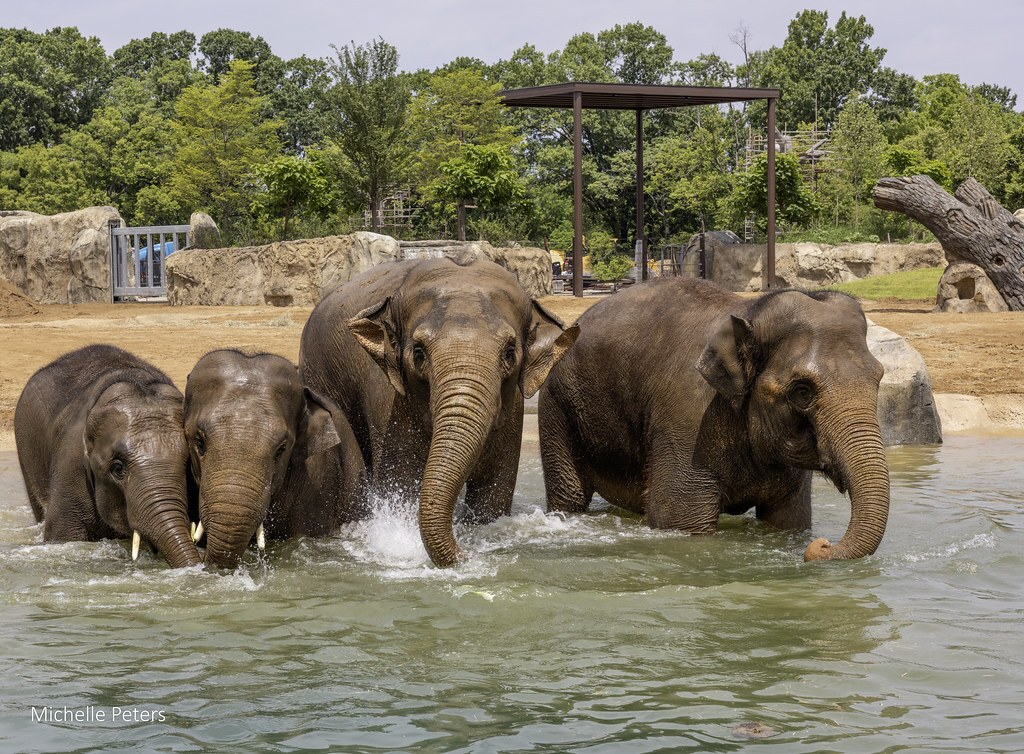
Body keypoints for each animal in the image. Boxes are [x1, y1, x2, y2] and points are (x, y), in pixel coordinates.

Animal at [299, 257, 579, 567]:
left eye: (509, 353)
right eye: (419, 352)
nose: (466, 554)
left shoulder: (512, 409)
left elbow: (493, 494)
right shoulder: (391, 402)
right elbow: (403, 481)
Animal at [539, 278, 889, 561]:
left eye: (879, 378)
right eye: (802, 391)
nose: (821, 544)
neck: (750, 312)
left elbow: (788, 519)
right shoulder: (686, 420)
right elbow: (680, 520)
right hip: (557, 405)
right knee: (570, 495)